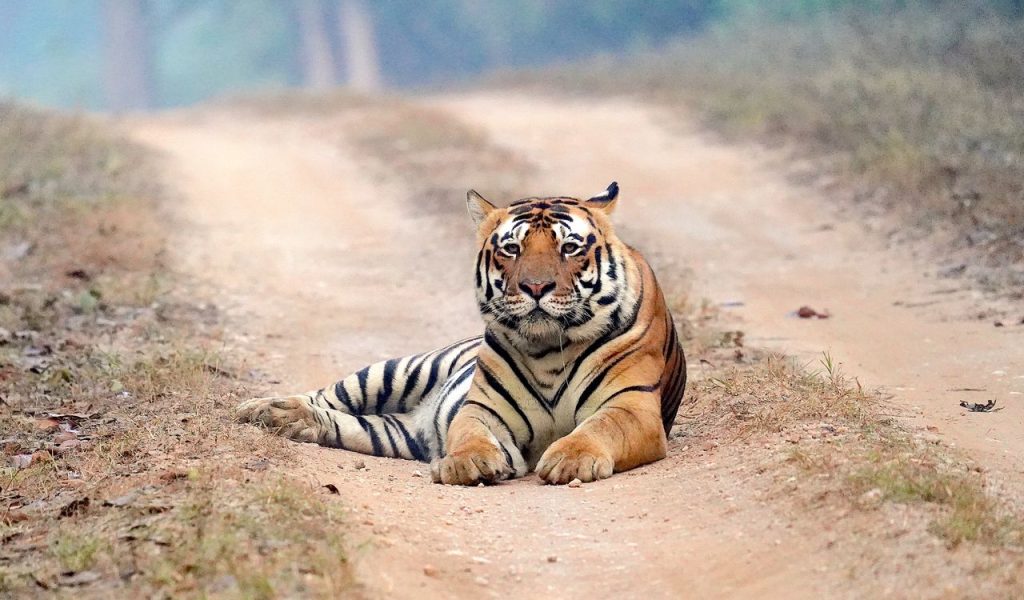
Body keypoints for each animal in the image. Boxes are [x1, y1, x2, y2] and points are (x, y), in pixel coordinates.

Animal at [235, 182, 687, 485]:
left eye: (570, 248)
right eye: (512, 249)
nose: (536, 287)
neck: (548, 351)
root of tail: (416, 419)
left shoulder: (632, 406)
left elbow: (598, 428)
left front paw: (570, 459)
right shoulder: (483, 408)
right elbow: (470, 433)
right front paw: (468, 462)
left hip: (392, 433)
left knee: (347, 422)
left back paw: (289, 422)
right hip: (395, 371)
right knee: (329, 395)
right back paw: (264, 409)